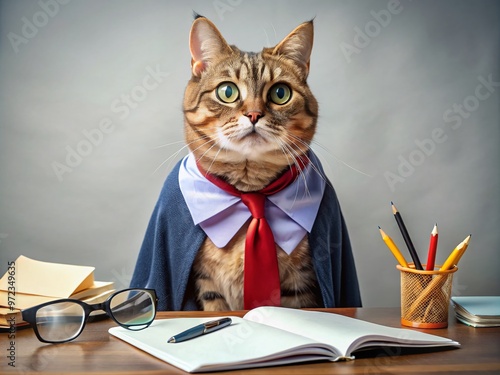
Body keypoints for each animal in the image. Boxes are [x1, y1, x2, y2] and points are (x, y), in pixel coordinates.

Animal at [183, 16, 320, 312]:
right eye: (227, 91)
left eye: (280, 93)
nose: (254, 114)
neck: (251, 193)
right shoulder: (207, 284)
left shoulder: (301, 283)